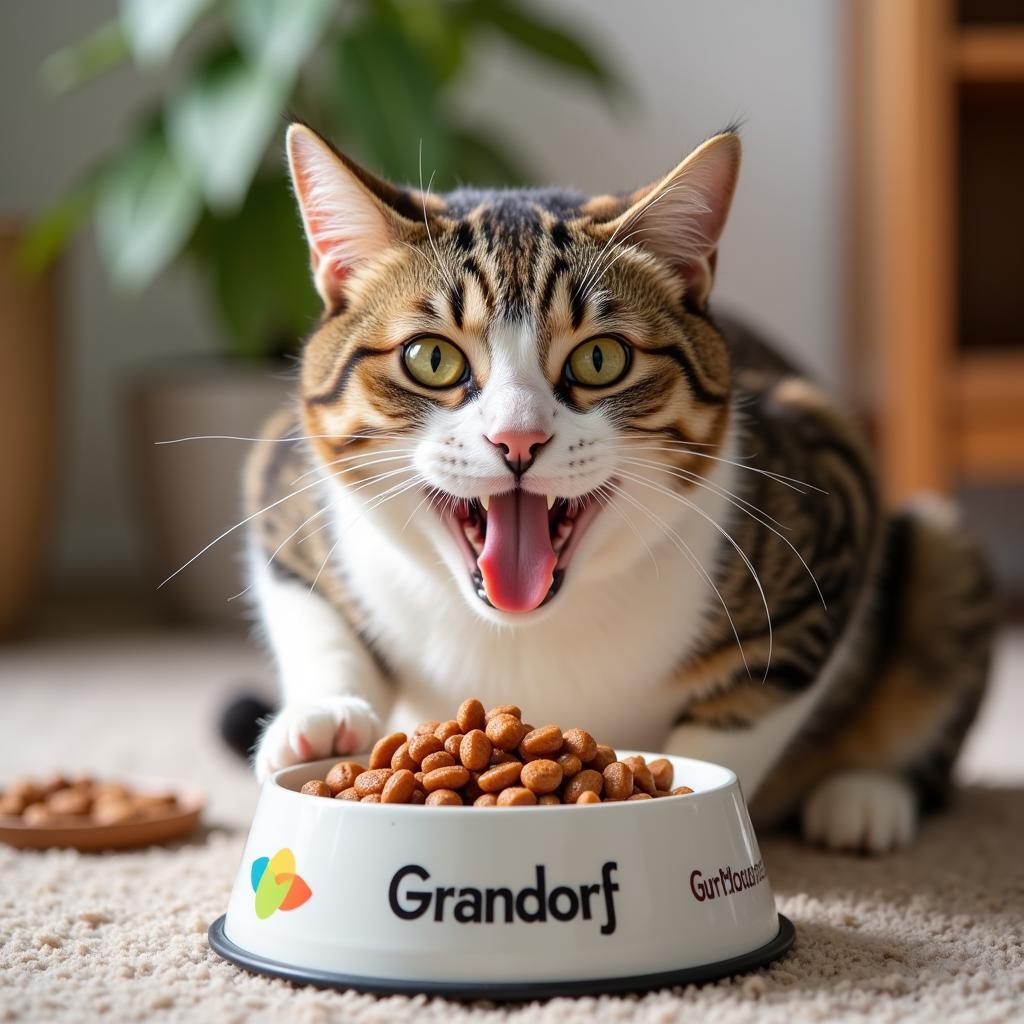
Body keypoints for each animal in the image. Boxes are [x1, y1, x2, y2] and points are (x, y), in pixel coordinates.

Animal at [239, 121, 991, 856]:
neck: (525, 635)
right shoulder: (280, 481)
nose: (518, 438)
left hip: (943, 551)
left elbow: (750, 708)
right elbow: (311, 614)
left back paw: (864, 798)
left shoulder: (829, 497)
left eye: (601, 358)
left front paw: (695, 796)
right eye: (432, 357)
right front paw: (321, 720)